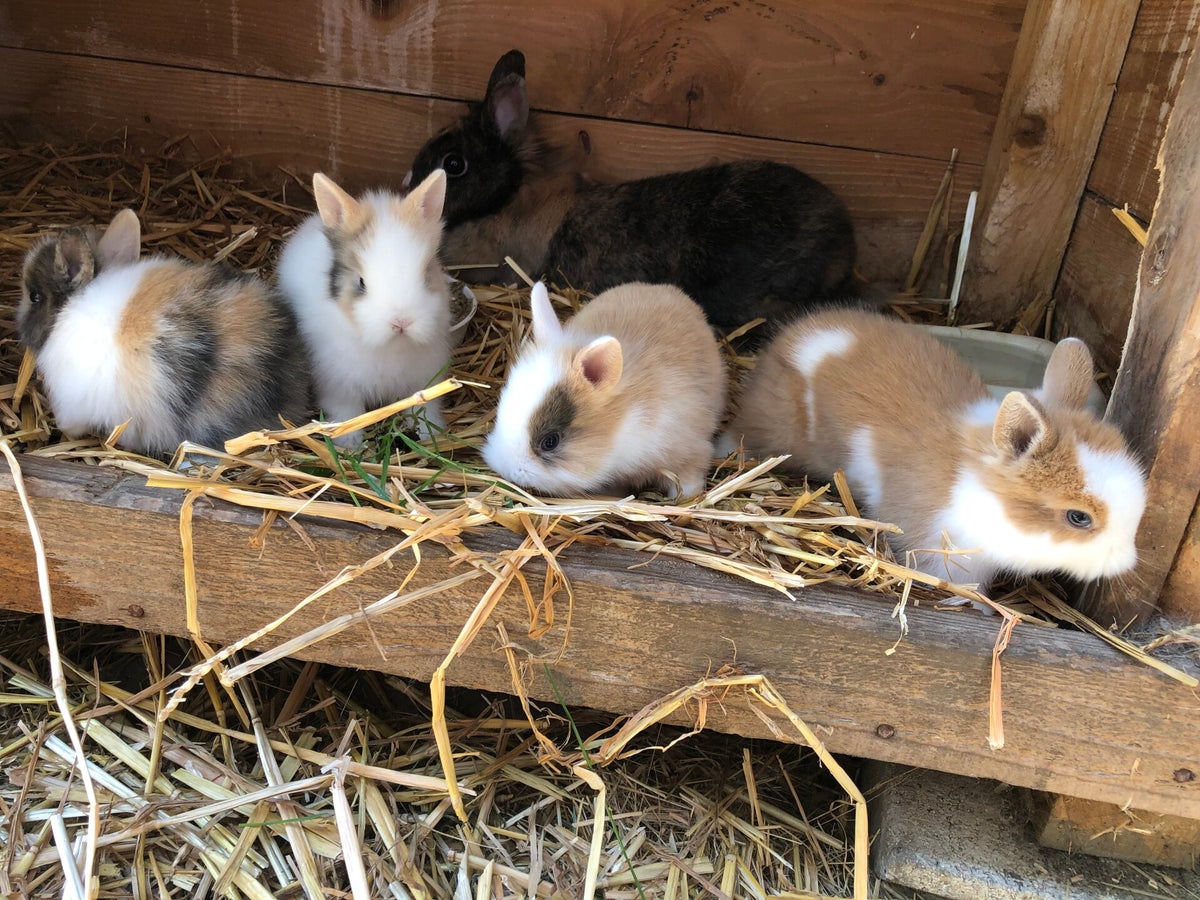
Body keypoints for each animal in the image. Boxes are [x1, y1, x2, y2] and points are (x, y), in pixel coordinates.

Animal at [276, 169, 454, 447]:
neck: (391, 347)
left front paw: (431, 435)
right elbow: (347, 414)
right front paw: (350, 445)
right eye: (361, 282)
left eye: (426, 275)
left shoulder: (425, 378)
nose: (401, 322)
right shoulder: (339, 386)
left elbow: (425, 407)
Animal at [482, 281, 727, 499]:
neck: (623, 423)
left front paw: (686, 497)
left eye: (550, 441)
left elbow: (688, 476)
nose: (508, 471)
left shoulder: (689, 450)